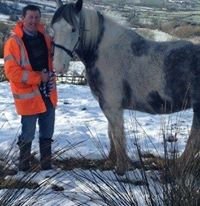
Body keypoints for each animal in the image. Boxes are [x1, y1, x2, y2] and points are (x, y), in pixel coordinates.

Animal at [50, 0, 200, 175]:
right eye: (53, 29)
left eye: (73, 29)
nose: (58, 67)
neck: (105, 51)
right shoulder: (109, 105)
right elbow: (111, 133)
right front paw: (110, 162)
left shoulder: (112, 105)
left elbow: (117, 135)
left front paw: (121, 168)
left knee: (193, 141)